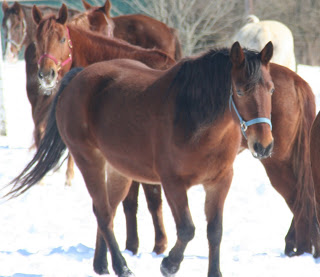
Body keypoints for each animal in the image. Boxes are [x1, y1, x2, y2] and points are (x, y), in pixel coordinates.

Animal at [8, 41, 276, 276]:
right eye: (240, 90)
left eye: (271, 88)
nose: (263, 145)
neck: (195, 120)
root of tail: (79, 76)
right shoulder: (173, 184)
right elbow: (187, 229)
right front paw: (169, 265)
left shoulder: (219, 182)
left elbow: (215, 231)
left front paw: (214, 272)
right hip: (88, 160)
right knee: (103, 213)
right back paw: (121, 267)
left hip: (119, 171)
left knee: (108, 210)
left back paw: (101, 265)